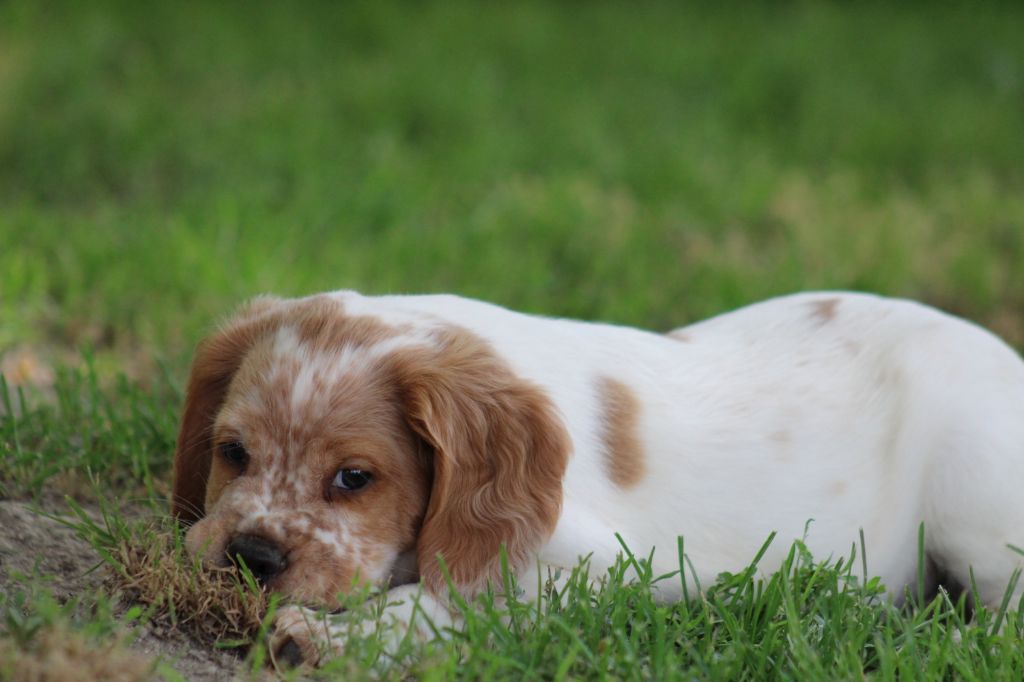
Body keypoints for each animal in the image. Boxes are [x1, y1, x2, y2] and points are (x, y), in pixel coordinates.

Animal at [172, 290, 1024, 665]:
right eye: (232, 452)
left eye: (354, 477)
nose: (249, 557)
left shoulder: (602, 573)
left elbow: (446, 599)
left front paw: (321, 635)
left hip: (974, 498)